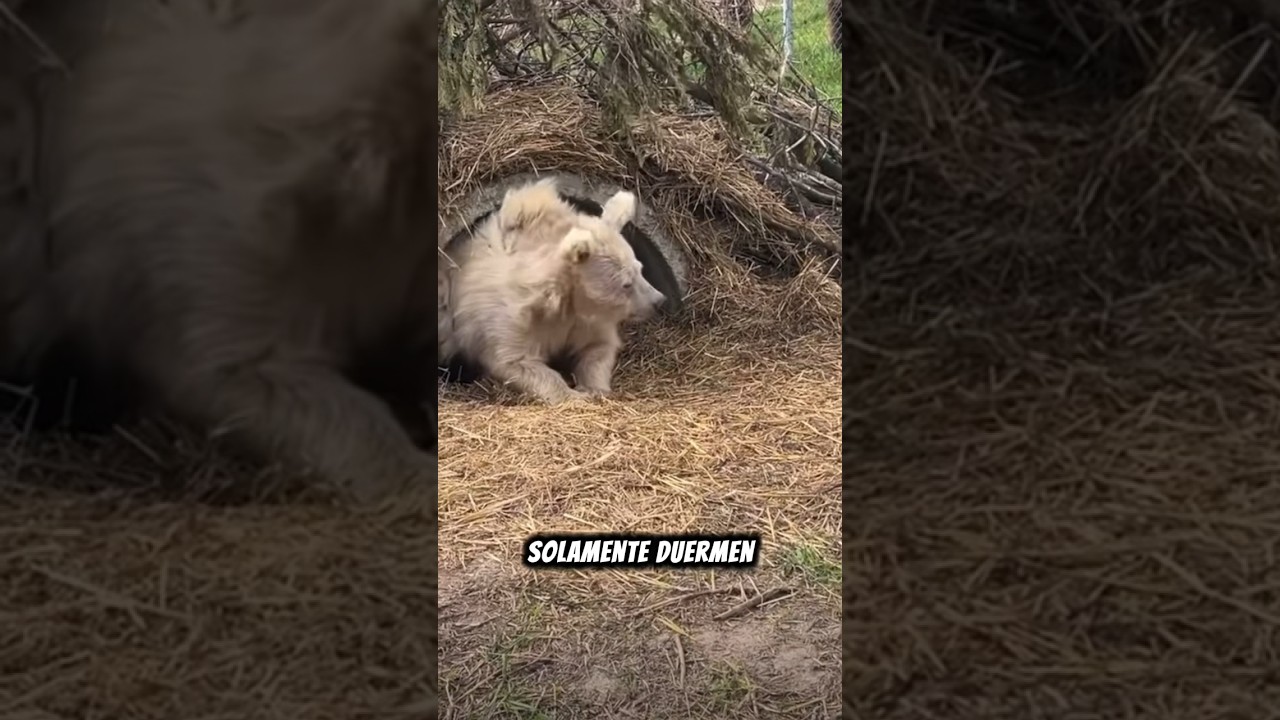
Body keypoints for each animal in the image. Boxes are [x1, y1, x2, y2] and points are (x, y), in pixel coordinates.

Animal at [440, 178, 667, 404]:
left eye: (640, 269)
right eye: (626, 283)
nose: (659, 301)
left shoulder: (584, 321)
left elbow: (598, 348)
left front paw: (594, 388)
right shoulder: (509, 320)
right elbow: (516, 361)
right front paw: (574, 395)